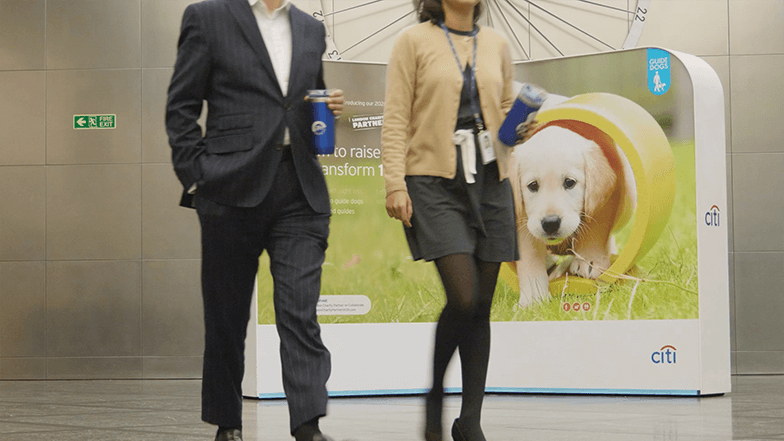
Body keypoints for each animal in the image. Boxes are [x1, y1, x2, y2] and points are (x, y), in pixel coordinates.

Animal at [508, 118, 636, 308]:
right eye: (532, 185)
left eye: (569, 182)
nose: (550, 223)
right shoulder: (523, 219)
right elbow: (530, 257)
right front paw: (533, 298)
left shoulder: (605, 200)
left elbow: (594, 228)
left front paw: (589, 261)